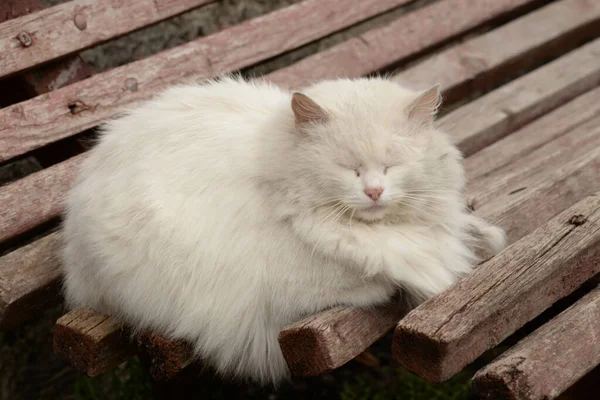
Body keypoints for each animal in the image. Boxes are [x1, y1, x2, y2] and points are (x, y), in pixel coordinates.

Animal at [61, 75, 504, 384]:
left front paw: (484, 235)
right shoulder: (285, 290)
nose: (375, 191)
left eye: (392, 164)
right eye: (349, 168)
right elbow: (375, 278)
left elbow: (461, 232)